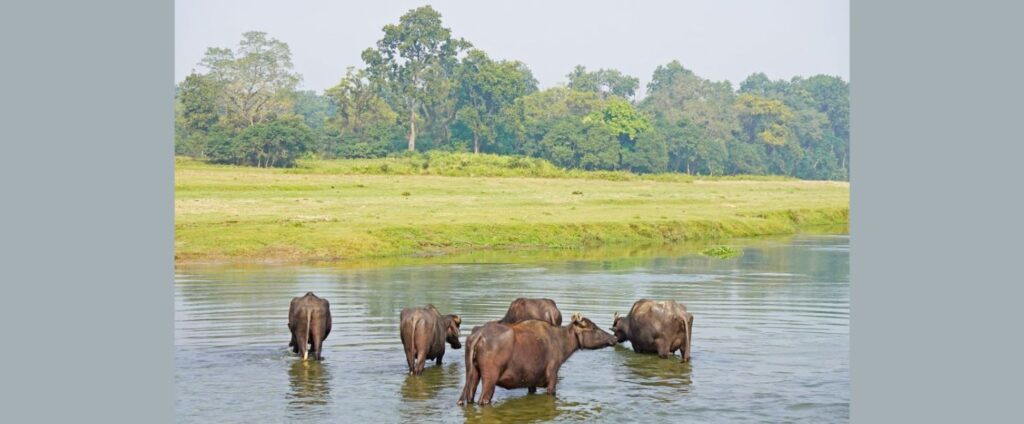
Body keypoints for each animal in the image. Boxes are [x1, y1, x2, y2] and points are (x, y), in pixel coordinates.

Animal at [457, 312, 617, 405]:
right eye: (594, 327)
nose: (614, 338)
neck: (564, 344)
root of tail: (477, 336)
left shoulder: (531, 381)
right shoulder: (552, 375)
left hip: (473, 373)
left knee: (469, 397)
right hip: (490, 378)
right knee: (483, 400)